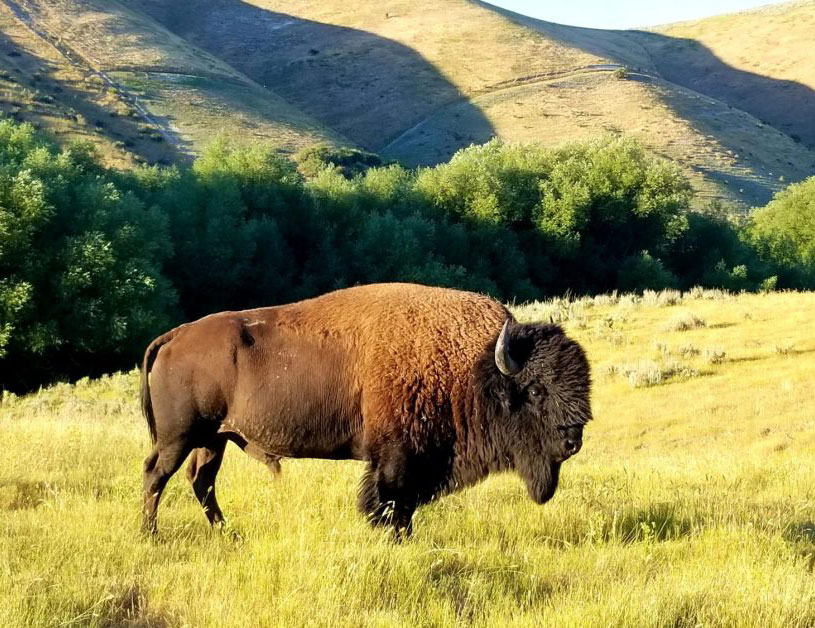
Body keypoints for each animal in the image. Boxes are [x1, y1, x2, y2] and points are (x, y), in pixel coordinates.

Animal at [141, 283, 592, 537]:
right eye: (536, 390)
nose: (573, 442)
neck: (474, 368)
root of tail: (174, 336)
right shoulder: (397, 461)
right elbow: (392, 507)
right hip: (179, 437)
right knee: (156, 476)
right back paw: (151, 535)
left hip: (213, 439)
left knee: (201, 481)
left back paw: (228, 533)